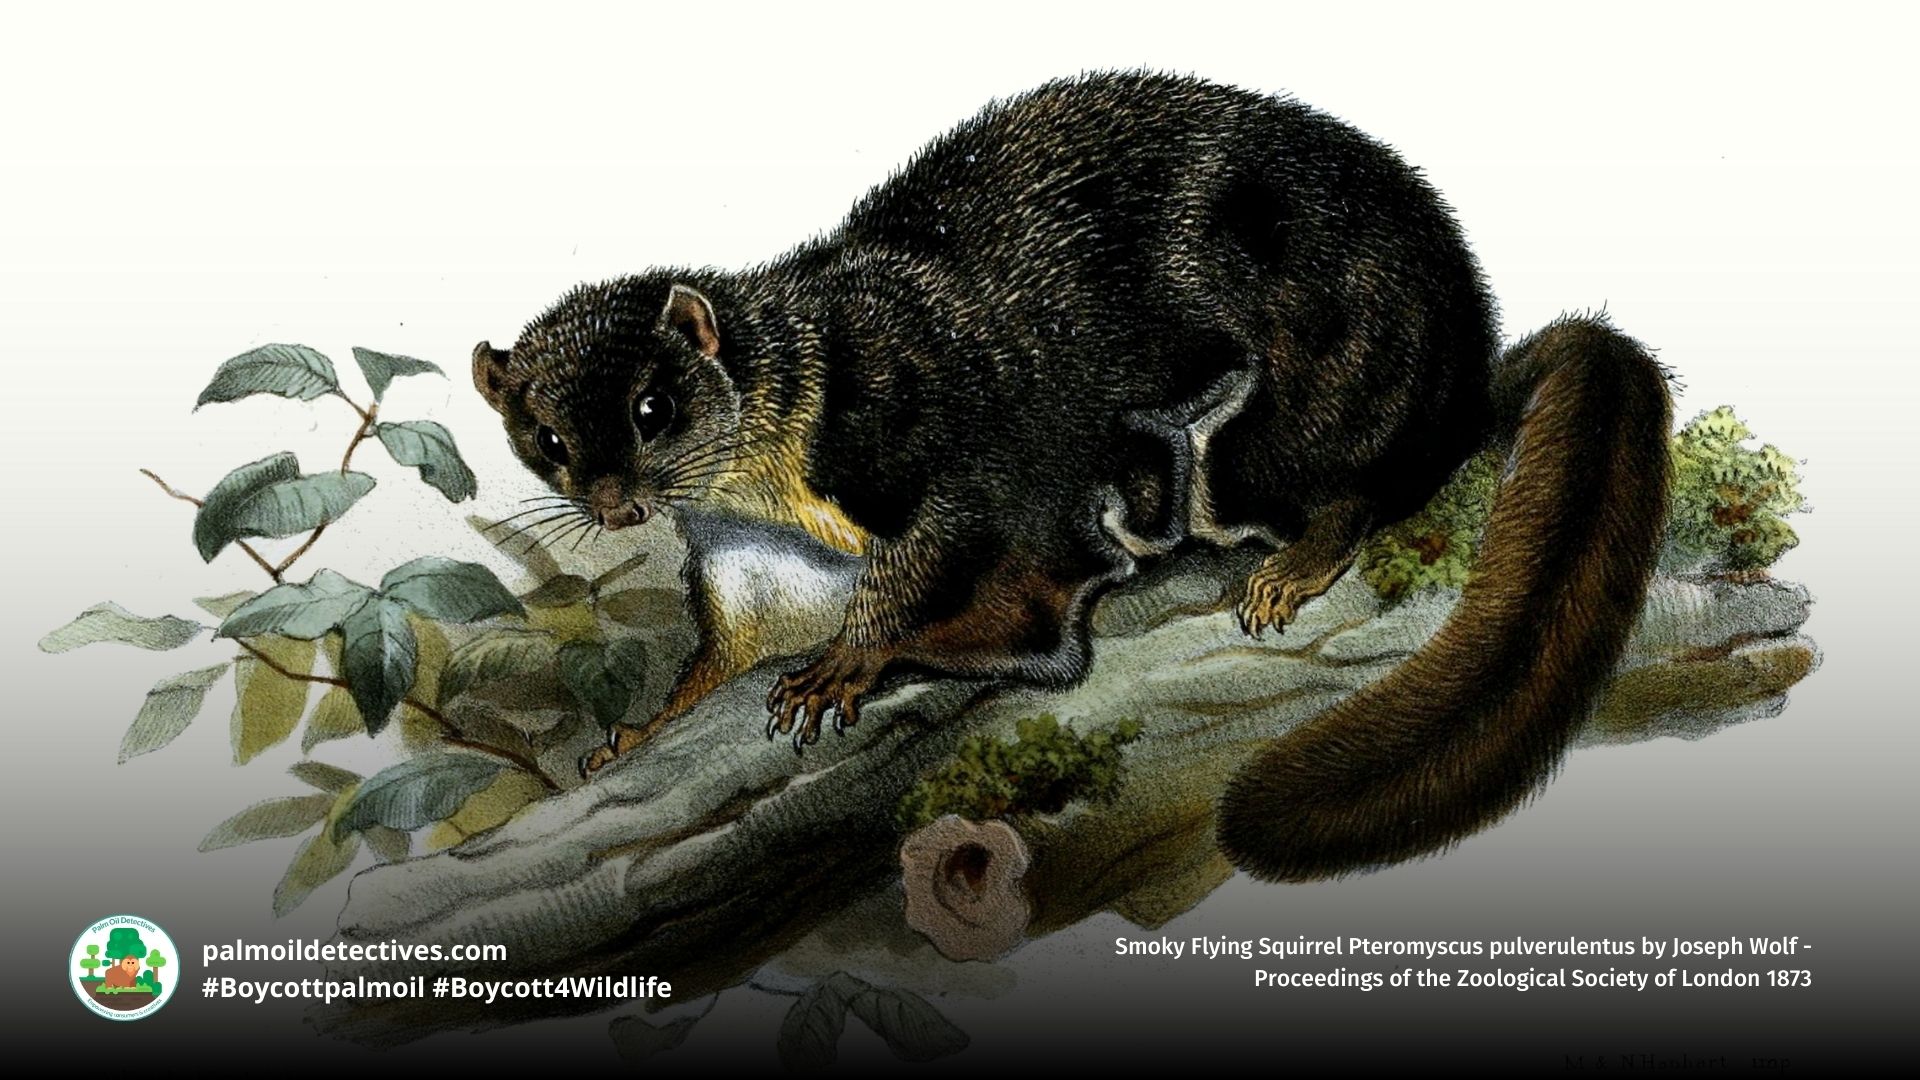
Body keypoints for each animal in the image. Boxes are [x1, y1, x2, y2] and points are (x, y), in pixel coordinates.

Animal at [472, 71, 1671, 882]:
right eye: (548, 437)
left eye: (652, 408)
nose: (617, 503)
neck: (770, 495)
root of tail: (1467, 364)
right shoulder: (742, 557)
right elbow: (718, 652)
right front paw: (640, 729)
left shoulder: (924, 440)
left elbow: (955, 563)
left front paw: (850, 662)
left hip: (1315, 385)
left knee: (1350, 491)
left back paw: (1286, 561)